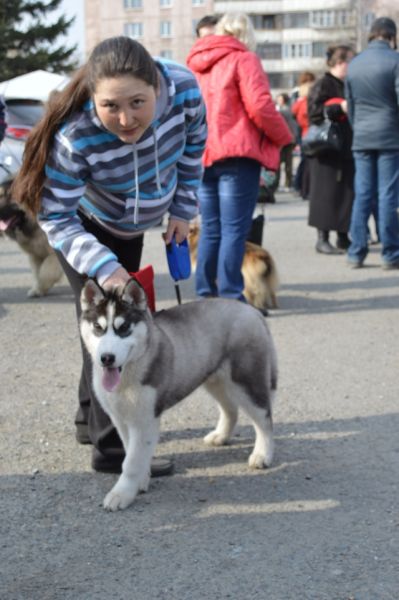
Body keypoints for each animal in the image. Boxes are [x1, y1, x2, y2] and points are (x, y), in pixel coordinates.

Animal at [79, 280, 276, 510]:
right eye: (98, 327)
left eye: (124, 328)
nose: (107, 358)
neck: (129, 372)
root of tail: (250, 310)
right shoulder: (120, 418)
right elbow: (131, 451)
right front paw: (141, 481)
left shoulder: (146, 418)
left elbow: (132, 461)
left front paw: (122, 493)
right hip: (214, 378)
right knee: (230, 409)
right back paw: (220, 435)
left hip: (246, 380)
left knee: (264, 419)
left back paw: (262, 454)